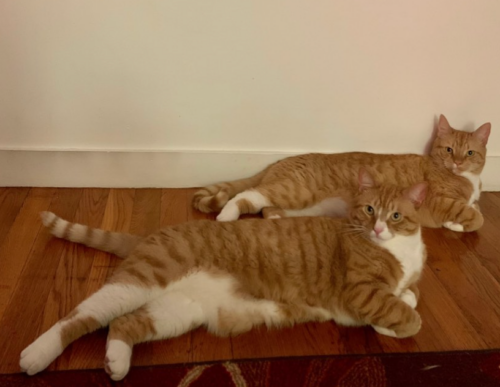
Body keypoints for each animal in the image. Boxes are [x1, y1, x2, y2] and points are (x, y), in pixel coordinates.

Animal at [20, 171, 426, 382]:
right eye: (370, 209)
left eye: (396, 216)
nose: (378, 229)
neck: (400, 250)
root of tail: (152, 234)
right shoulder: (360, 292)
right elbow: (410, 317)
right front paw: (398, 324)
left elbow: (408, 296)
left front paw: (401, 303)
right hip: (139, 281)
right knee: (80, 316)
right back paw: (36, 354)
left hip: (176, 313)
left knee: (123, 324)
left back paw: (116, 362)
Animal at [193, 113, 490, 232]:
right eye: (449, 150)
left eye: (469, 153)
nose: (458, 163)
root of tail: (279, 162)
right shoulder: (439, 201)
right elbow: (476, 218)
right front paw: (457, 223)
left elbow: (477, 209)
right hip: (295, 191)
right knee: (248, 194)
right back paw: (226, 215)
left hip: (300, 204)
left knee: (267, 207)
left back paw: (276, 218)